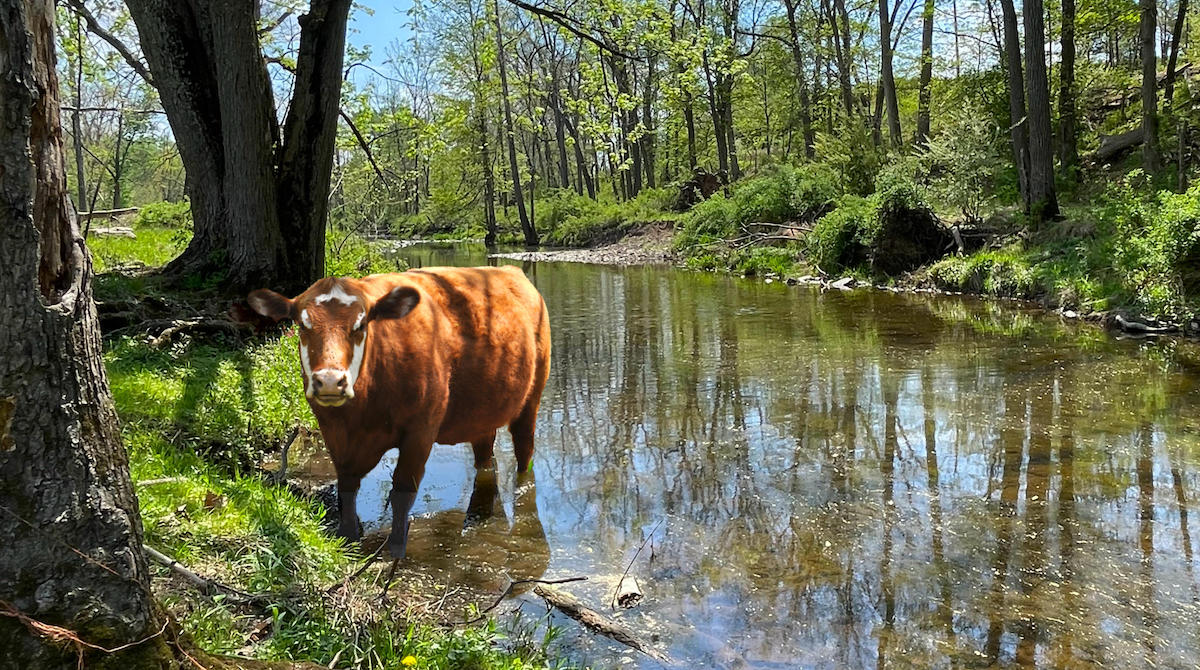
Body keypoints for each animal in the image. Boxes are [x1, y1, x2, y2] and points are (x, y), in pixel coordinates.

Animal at [246, 266, 551, 560]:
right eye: (302, 324)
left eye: (360, 324)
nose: (331, 381)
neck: (359, 416)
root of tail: (512, 271)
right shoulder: (333, 432)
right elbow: (346, 486)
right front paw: (348, 538)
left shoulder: (420, 431)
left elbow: (402, 491)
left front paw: (396, 548)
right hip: (482, 416)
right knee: (485, 459)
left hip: (532, 399)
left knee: (524, 452)